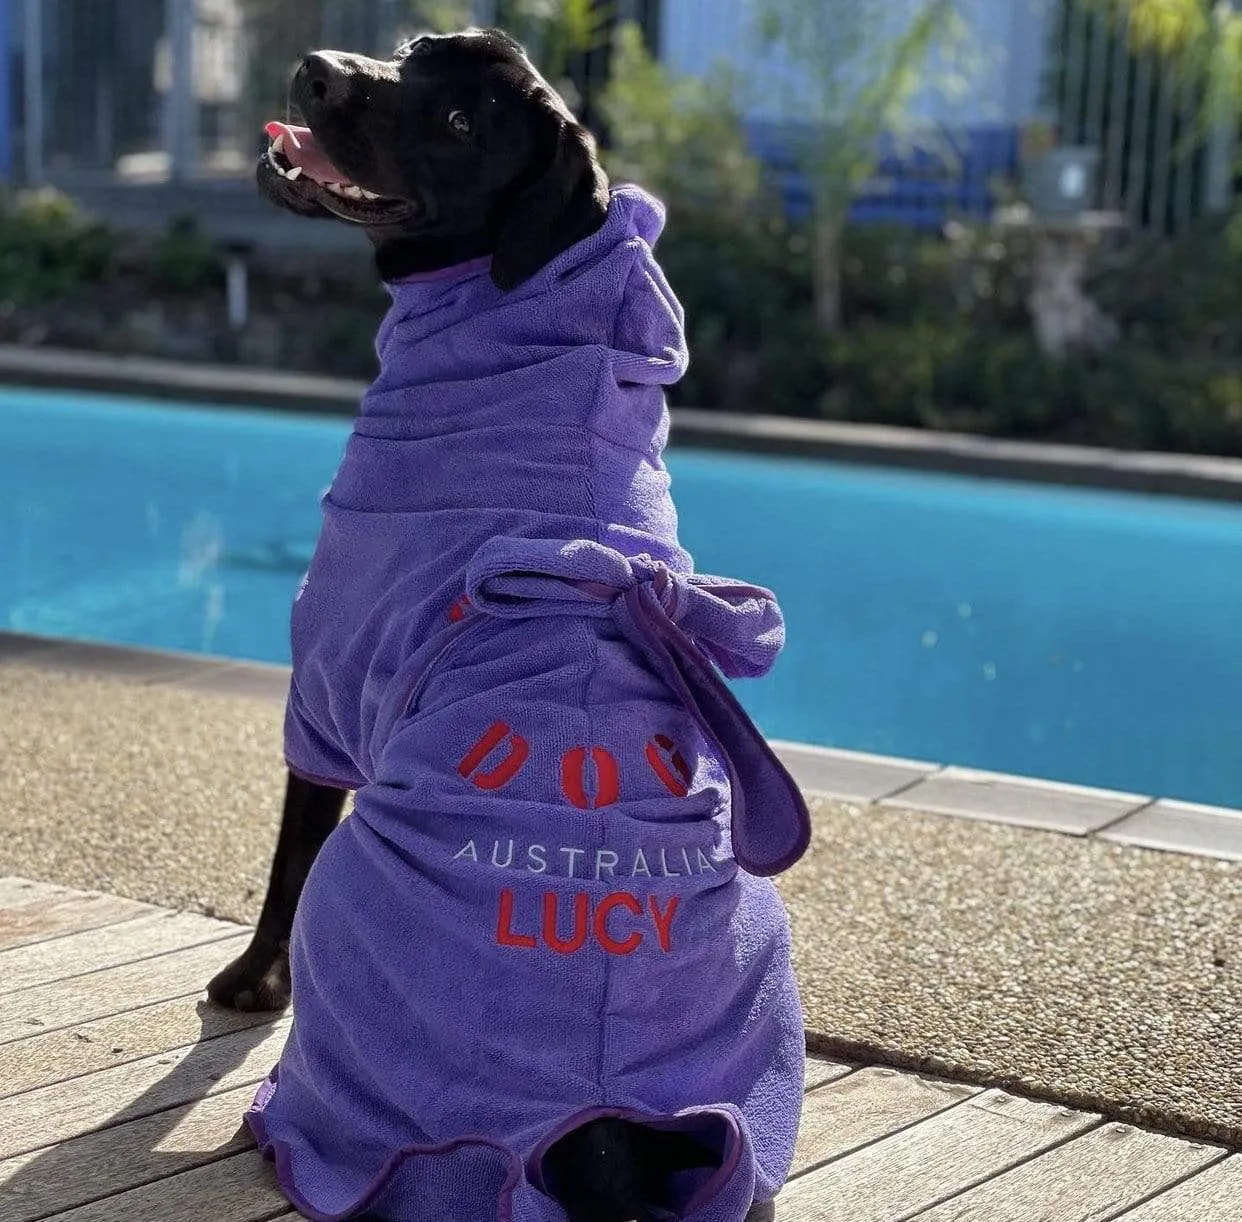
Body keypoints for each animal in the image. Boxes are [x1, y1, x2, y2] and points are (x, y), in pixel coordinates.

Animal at [208, 28, 779, 1222]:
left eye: (465, 124)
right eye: (416, 49)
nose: (321, 70)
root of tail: (595, 1129)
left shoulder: (325, 678)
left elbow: (286, 851)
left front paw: (249, 982)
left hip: (361, 896)